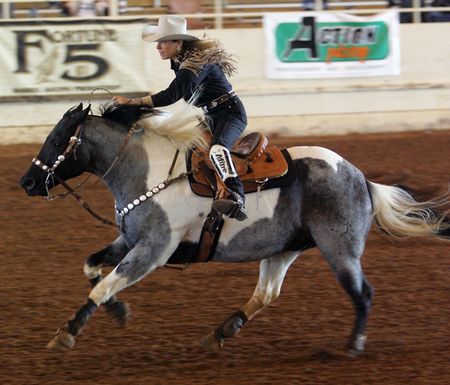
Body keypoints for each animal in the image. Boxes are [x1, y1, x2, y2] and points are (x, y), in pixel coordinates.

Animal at [19, 103, 448, 354]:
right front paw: (119, 310)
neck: (149, 173)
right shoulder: (128, 240)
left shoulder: (153, 249)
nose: (26, 182)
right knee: (266, 293)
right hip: (284, 248)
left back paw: (354, 344)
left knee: (363, 293)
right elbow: (93, 269)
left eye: (57, 139)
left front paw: (66, 333)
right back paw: (221, 332)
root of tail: (361, 178)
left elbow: (102, 284)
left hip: (340, 250)